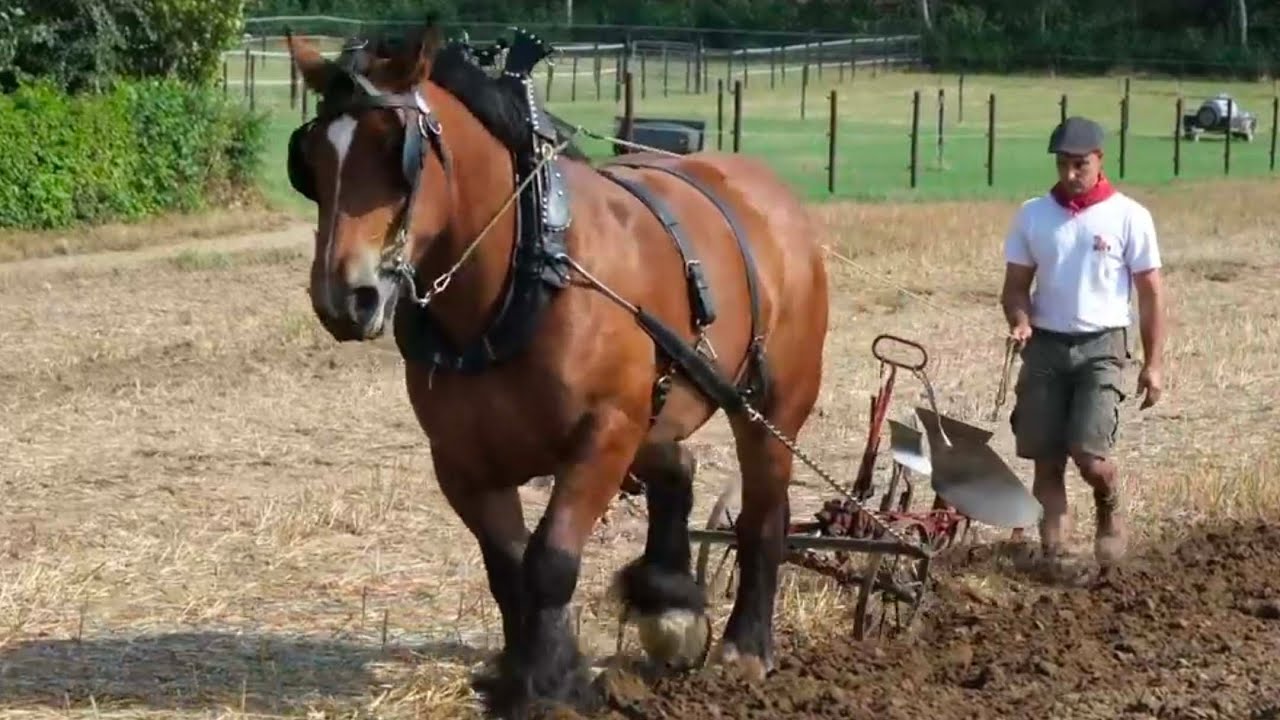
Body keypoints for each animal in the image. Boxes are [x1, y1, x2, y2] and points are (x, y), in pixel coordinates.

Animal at [284, 22, 830, 717]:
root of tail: (765, 190)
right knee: (678, 469)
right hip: (659, 402)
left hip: (769, 403)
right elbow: (507, 570)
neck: (522, 276)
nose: (343, 298)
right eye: (312, 161)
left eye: (392, 149)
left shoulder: (603, 433)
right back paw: (672, 610)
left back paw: (746, 647)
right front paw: (519, 675)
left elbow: (549, 561)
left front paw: (550, 688)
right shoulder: (460, 462)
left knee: (765, 510)